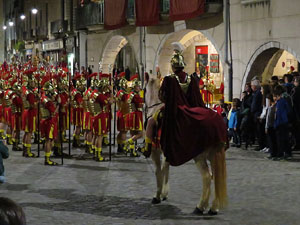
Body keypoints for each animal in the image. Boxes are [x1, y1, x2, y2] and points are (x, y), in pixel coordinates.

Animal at [144, 74, 226, 214]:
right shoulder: (167, 152)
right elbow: (166, 169)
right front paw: (164, 194)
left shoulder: (155, 152)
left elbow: (158, 171)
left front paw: (157, 196)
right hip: (213, 155)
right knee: (216, 177)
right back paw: (213, 208)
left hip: (199, 156)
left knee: (207, 177)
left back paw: (200, 207)